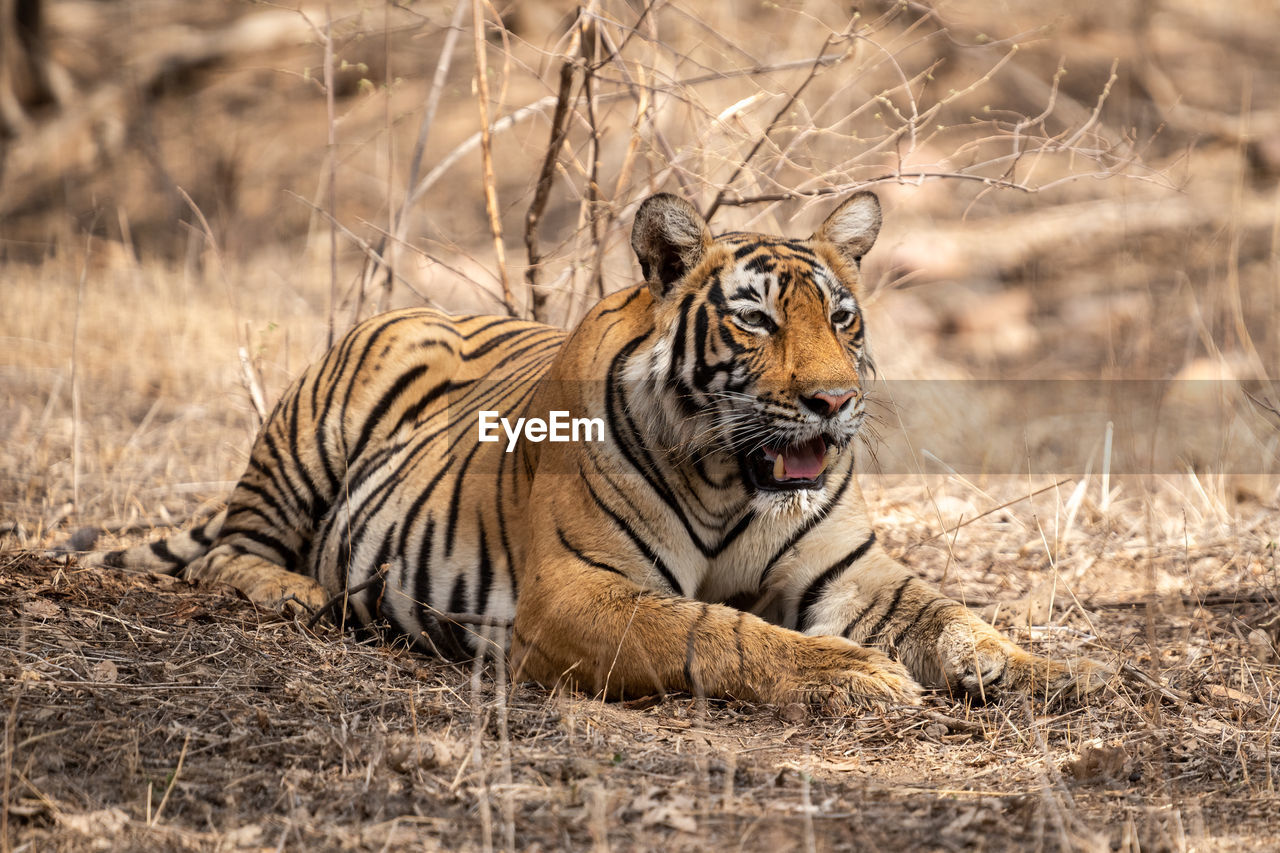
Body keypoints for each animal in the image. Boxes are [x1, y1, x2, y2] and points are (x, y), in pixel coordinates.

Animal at [87, 190, 1111, 701]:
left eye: (843, 317)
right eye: (755, 320)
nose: (835, 400)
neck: (730, 481)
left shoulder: (854, 572)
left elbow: (952, 614)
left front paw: (1059, 670)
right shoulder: (578, 592)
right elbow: (716, 628)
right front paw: (853, 672)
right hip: (319, 429)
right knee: (227, 552)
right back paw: (296, 593)